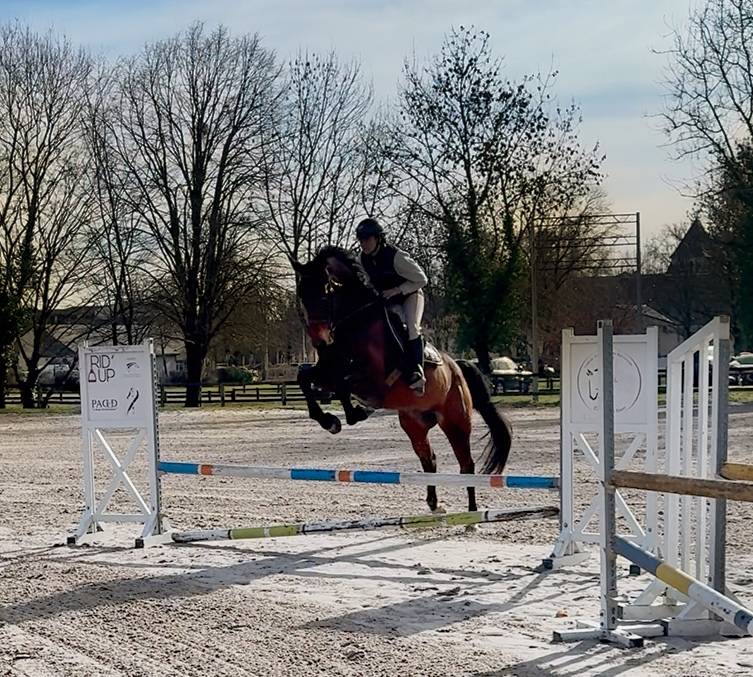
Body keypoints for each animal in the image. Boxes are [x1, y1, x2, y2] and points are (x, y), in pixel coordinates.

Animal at [291, 245, 513, 514]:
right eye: (302, 295)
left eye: (324, 293)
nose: (320, 341)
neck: (355, 321)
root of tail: (457, 368)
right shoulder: (328, 371)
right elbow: (305, 377)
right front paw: (331, 420)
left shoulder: (373, 379)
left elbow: (343, 383)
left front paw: (350, 415)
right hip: (414, 424)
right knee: (430, 460)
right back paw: (434, 505)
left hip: (455, 422)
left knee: (466, 465)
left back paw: (471, 512)